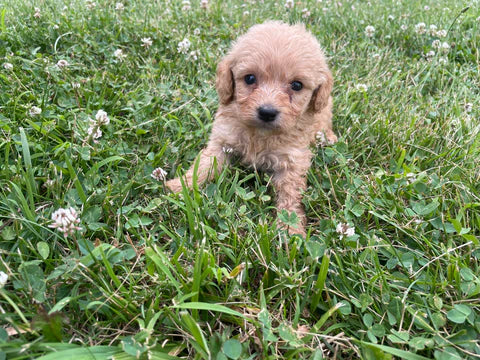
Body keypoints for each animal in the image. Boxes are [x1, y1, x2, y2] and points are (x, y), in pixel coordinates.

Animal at [168, 22, 338, 236]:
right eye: (249, 78)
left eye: (297, 85)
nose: (267, 112)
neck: (260, 134)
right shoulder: (222, 141)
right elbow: (204, 166)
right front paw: (180, 186)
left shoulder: (292, 161)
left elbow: (290, 195)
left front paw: (290, 230)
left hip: (325, 108)